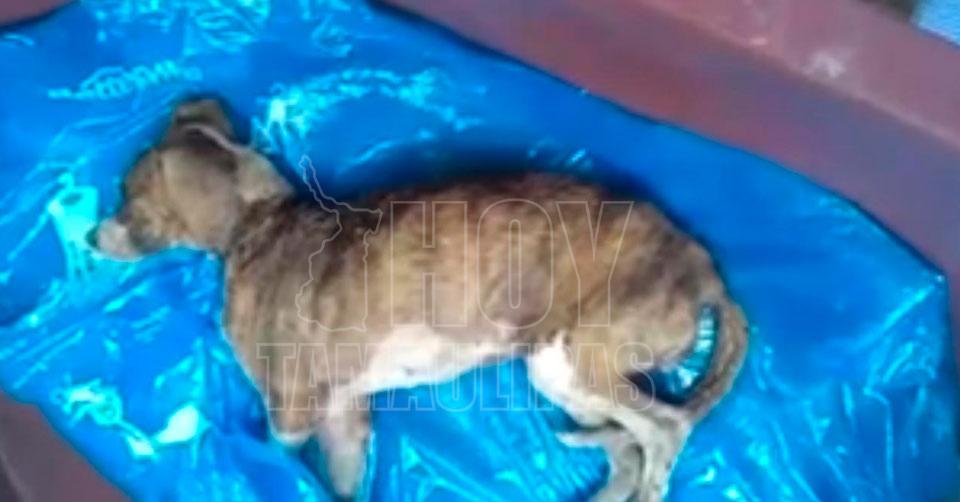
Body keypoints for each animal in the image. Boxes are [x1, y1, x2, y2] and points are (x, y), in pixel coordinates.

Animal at [93, 99, 748, 501]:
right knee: (626, 448)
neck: (259, 222)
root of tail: (706, 269)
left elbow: (282, 459)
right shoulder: (344, 420)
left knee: (664, 430)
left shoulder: (292, 413)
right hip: (566, 377)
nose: (87, 238)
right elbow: (340, 486)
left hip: (578, 362)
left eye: (127, 196)